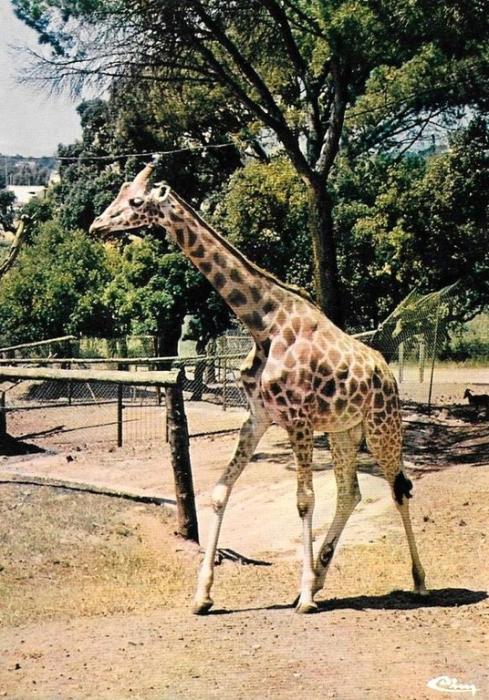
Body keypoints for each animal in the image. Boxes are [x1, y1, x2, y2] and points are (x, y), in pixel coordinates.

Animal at [90, 162, 427, 614]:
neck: (261, 323)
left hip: (382, 427)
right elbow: (219, 492)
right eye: (120, 193)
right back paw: (322, 576)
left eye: (136, 201)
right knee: (350, 492)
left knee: (398, 489)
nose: (97, 225)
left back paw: (417, 581)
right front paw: (202, 595)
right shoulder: (260, 416)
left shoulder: (298, 419)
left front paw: (305, 598)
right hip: (343, 431)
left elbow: (304, 499)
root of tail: (386, 372)